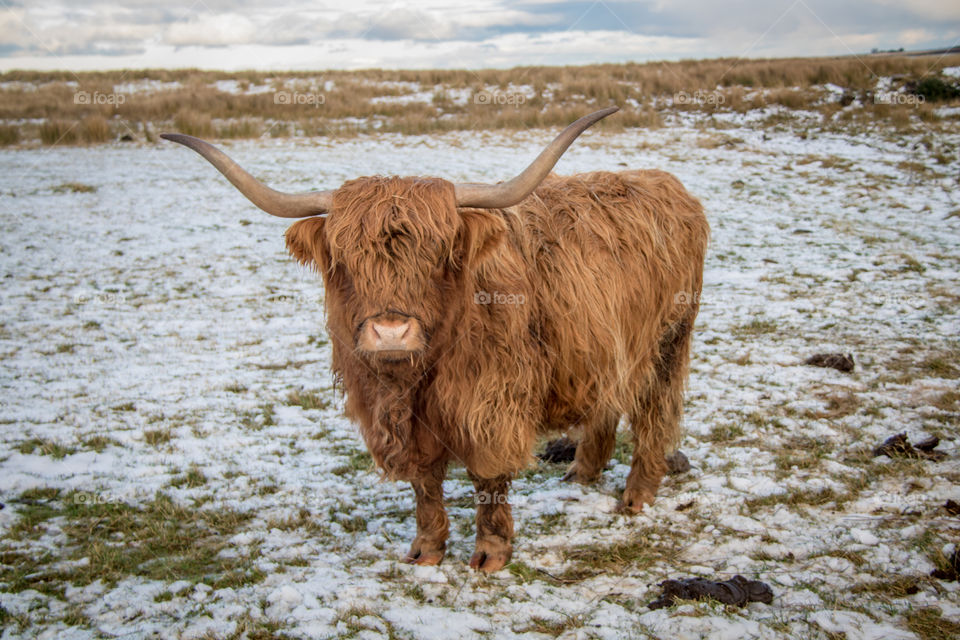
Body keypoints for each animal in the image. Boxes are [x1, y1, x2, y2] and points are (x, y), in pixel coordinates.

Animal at [162, 107, 708, 573]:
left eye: (440, 253)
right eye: (344, 258)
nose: (389, 332)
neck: (415, 379)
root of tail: (666, 184)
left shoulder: (491, 405)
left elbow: (488, 479)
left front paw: (491, 554)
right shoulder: (398, 418)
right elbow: (425, 483)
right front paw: (426, 550)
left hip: (668, 341)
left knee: (655, 413)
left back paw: (636, 496)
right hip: (604, 349)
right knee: (606, 400)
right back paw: (583, 473)